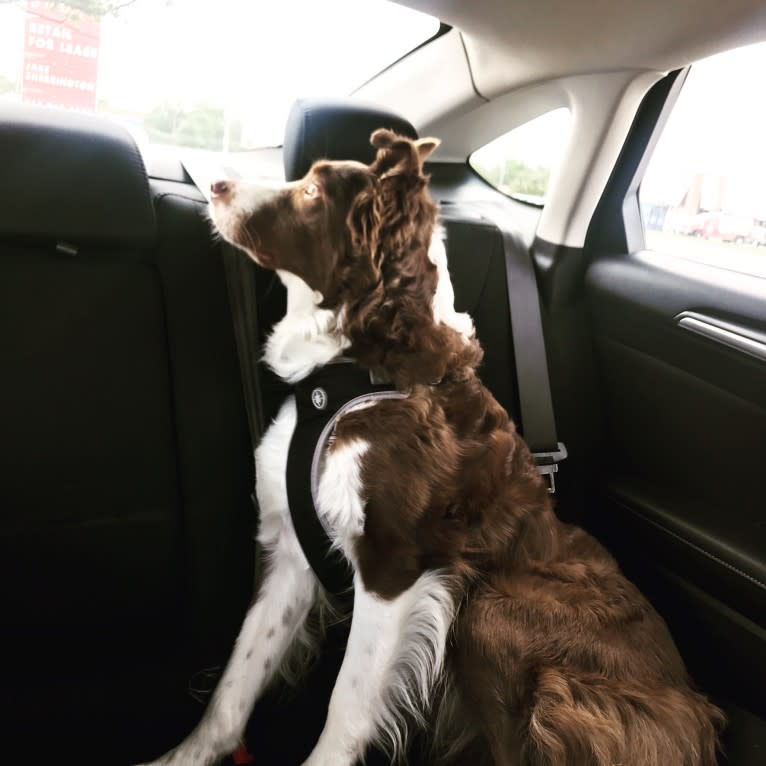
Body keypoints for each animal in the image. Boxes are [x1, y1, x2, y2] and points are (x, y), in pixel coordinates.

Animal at [142, 129, 728, 764]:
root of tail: (700, 720)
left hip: (490, 610)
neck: (358, 368)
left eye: (313, 192)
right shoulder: (296, 552)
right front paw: (183, 756)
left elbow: (346, 705)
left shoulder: (395, 566)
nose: (217, 185)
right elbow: (236, 679)